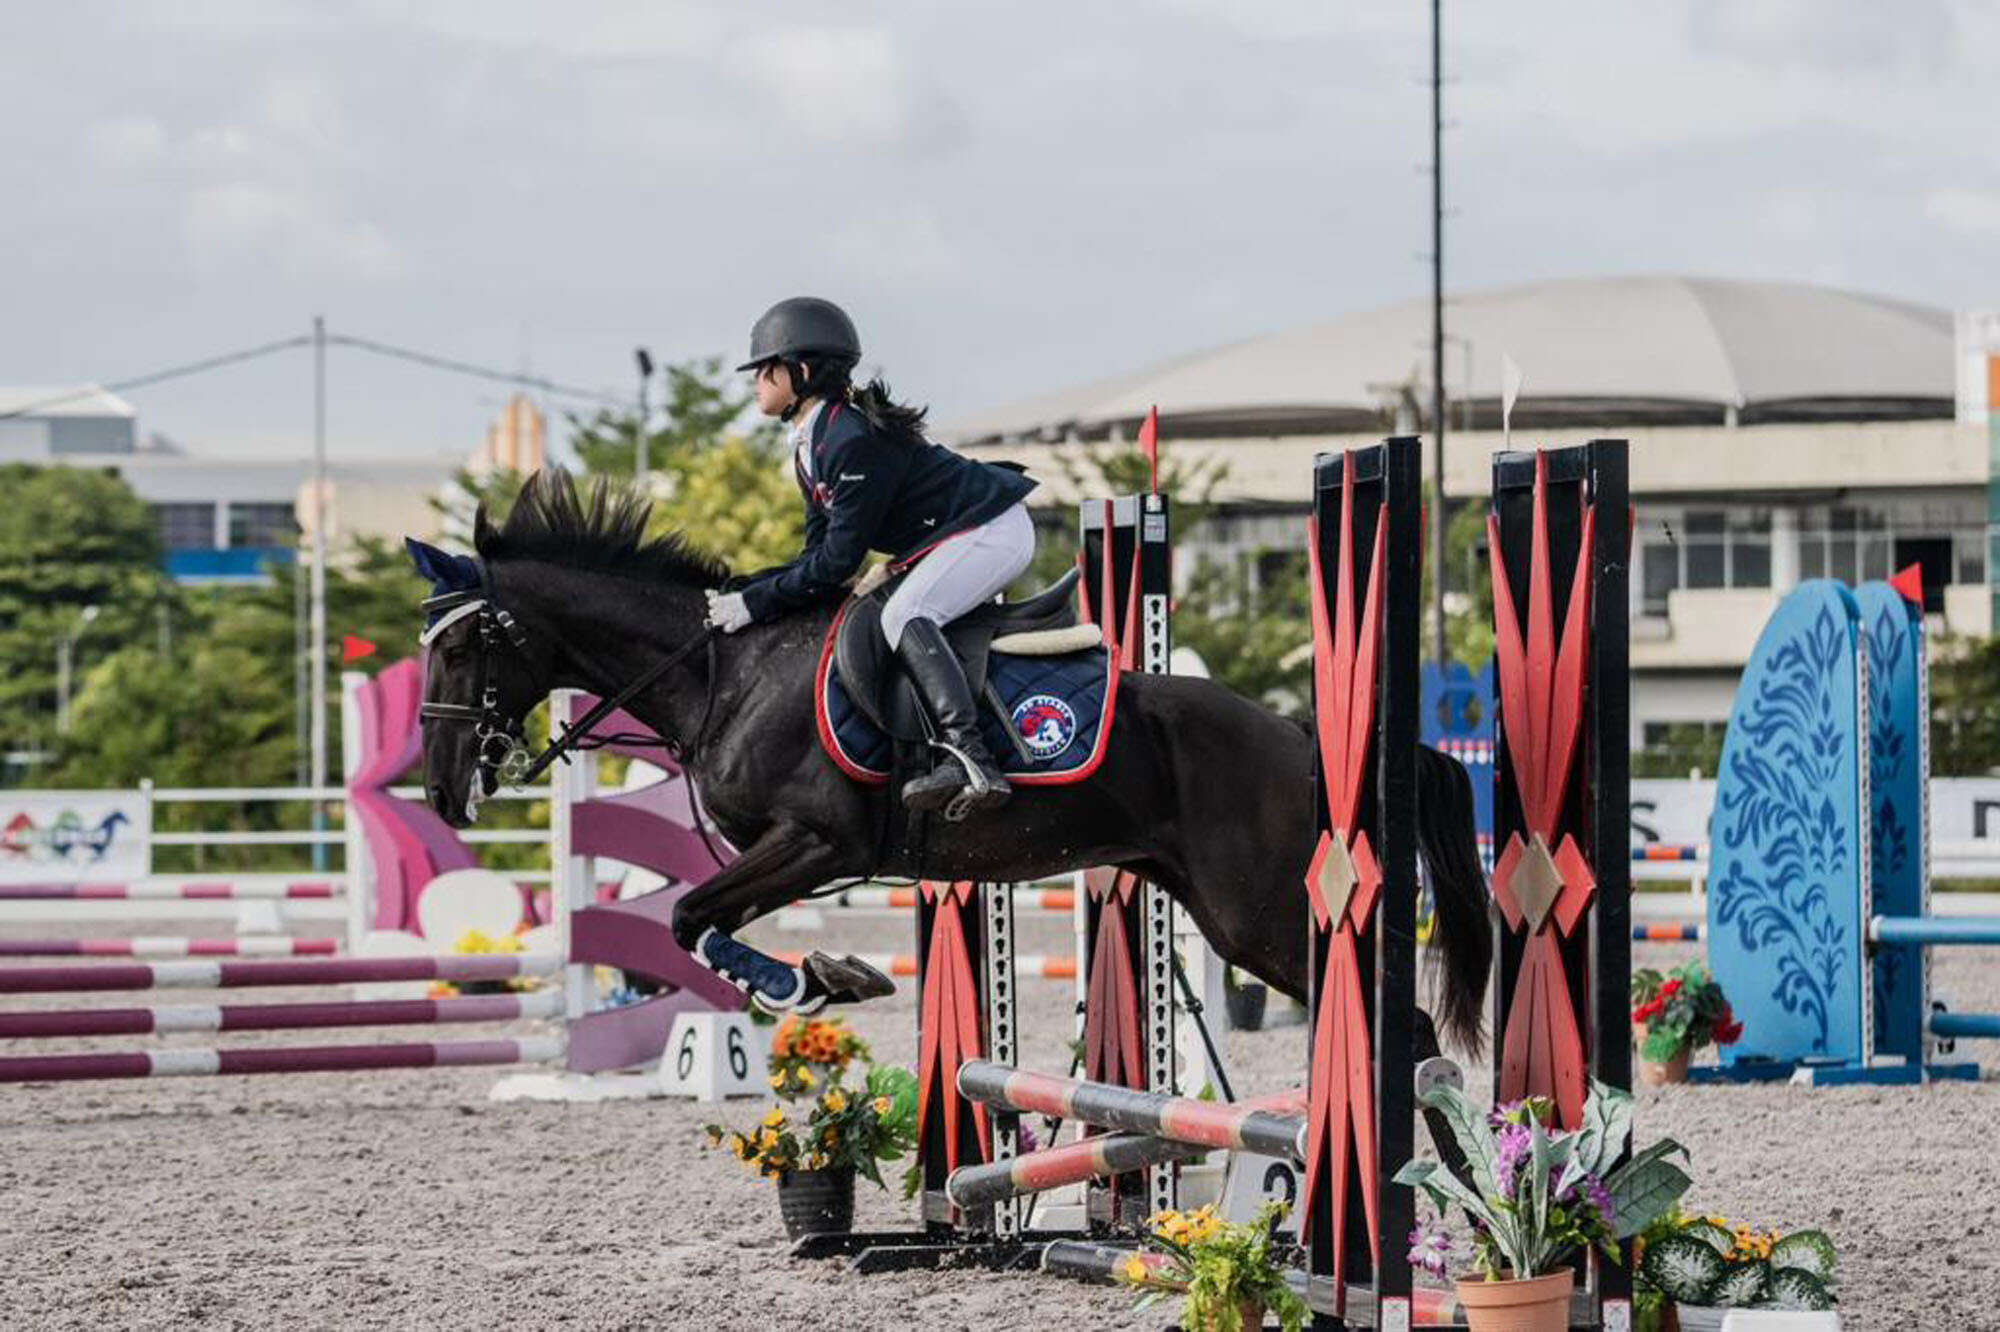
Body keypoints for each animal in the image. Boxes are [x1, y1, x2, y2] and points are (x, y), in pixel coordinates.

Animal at [410, 474, 1504, 1048]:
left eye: (460, 652)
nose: (445, 790)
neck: (724, 670)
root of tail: (1300, 735)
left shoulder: (818, 842)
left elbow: (688, 918)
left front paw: (812, 983)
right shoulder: (789, 854)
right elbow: (696, 925)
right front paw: (829, 975)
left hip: (1262, 914)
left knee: (1395, 1025)